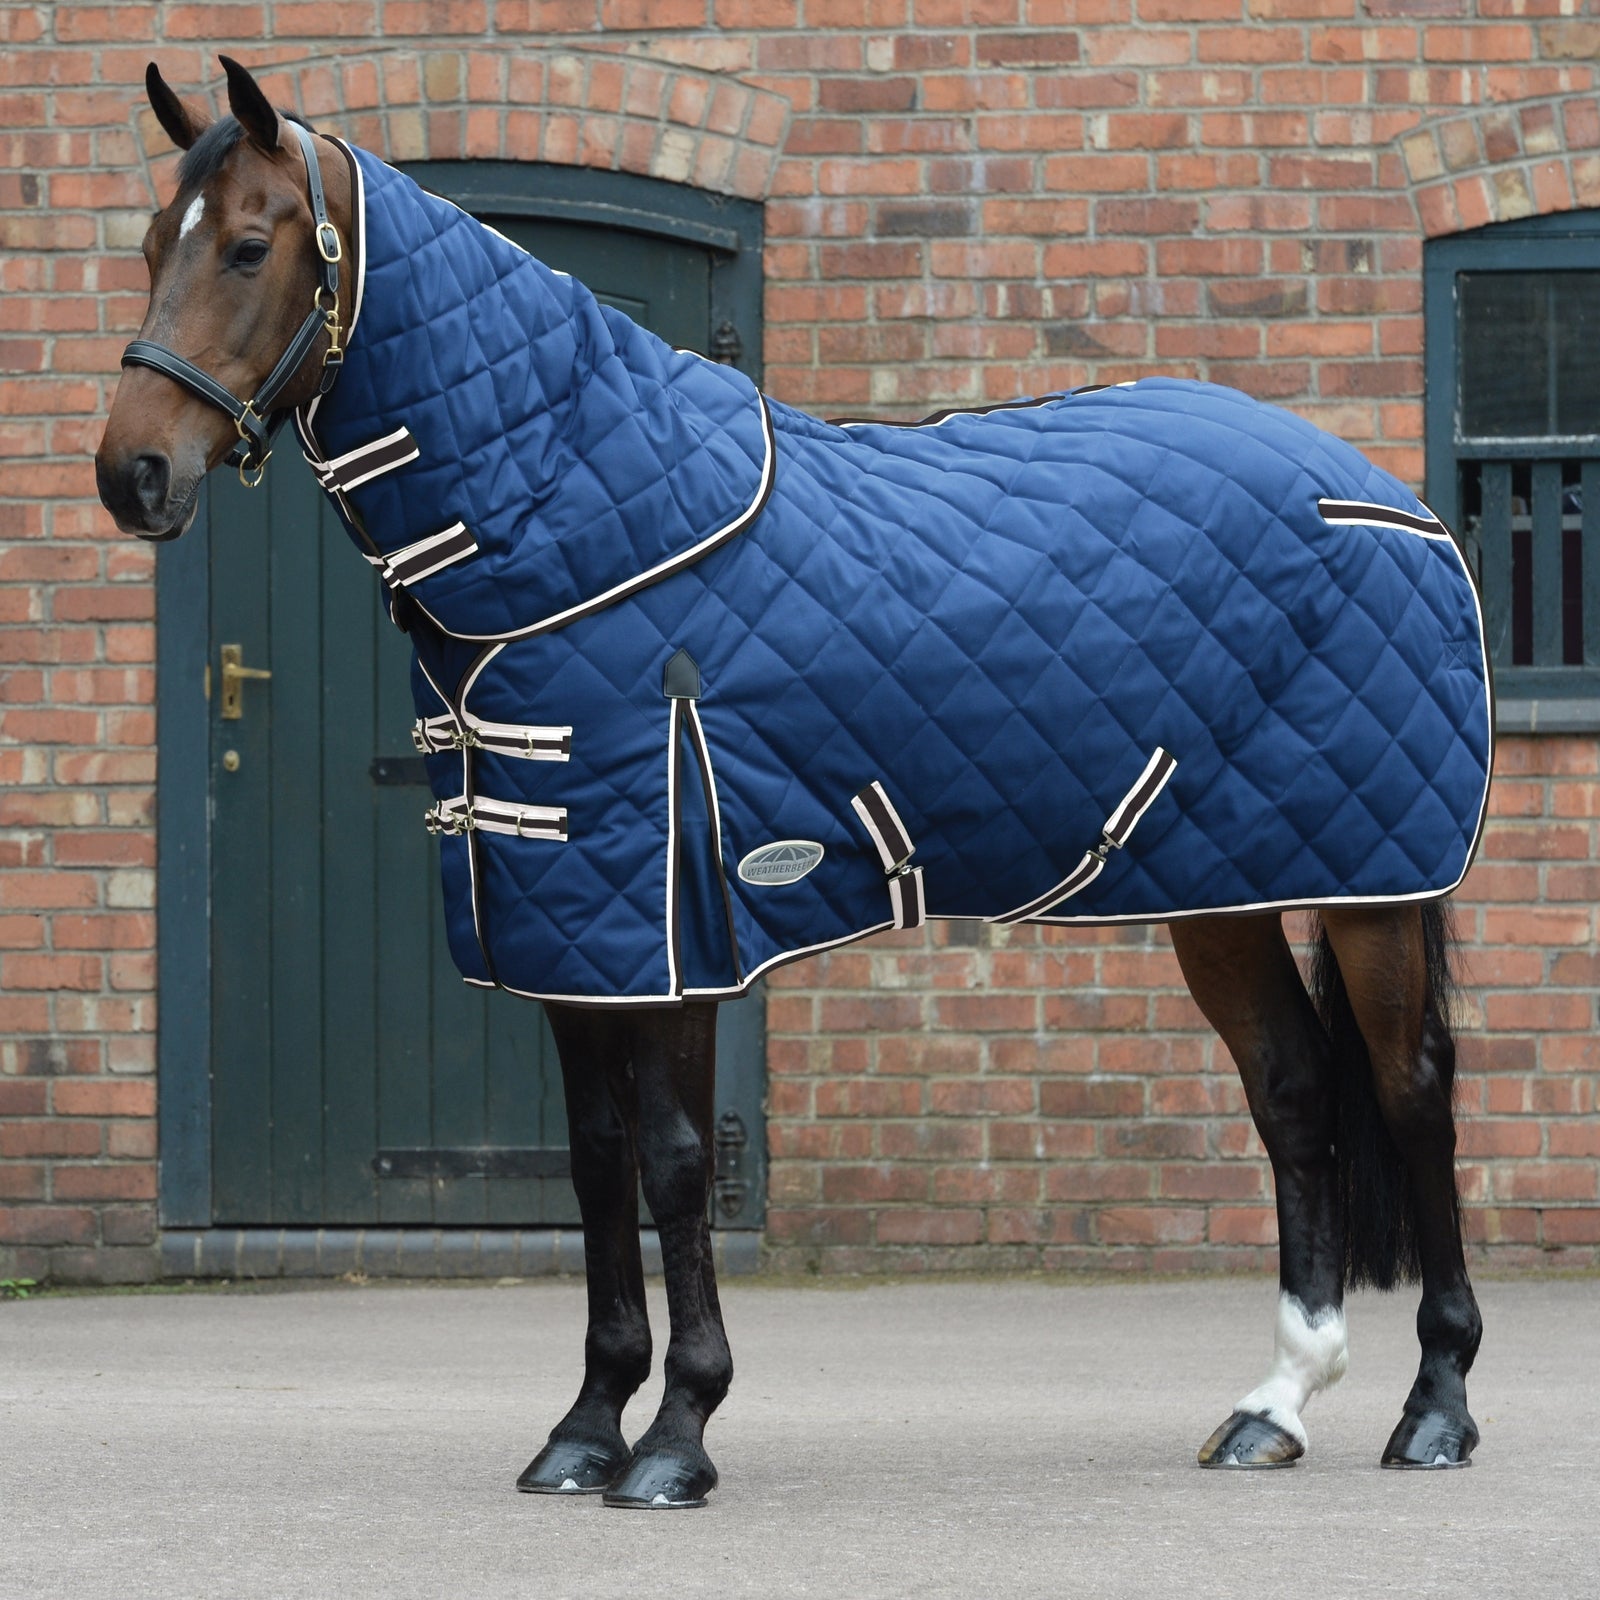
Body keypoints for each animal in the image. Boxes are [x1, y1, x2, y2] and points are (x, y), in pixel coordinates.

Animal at [96, 56, 1491, 1507]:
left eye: (248, 246)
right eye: (147, 246)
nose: (132, 474)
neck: (596, 536)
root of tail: (1382, 495)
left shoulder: (677, 925)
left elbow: (672, 1163)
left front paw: (677, 1436)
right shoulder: (565, 929)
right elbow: (594, 1166)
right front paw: (585, 1428)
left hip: (1375, 884)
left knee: (1411, 1091)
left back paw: (1435, 1406)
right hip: (1221, 888)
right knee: (1291, 1091)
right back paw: (1276, 1402)